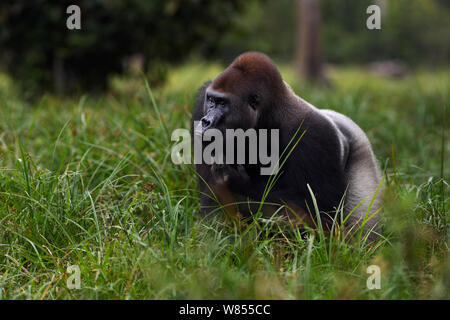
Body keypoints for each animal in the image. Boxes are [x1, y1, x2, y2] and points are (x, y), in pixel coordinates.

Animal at [192, 52, 382, 240]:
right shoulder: (201, 102)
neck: (268, 116)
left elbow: (321, 210)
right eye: (211, 100)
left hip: (361, 150)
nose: (206, 121)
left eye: (223, 103)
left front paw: (237, 181)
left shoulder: (316, 134)